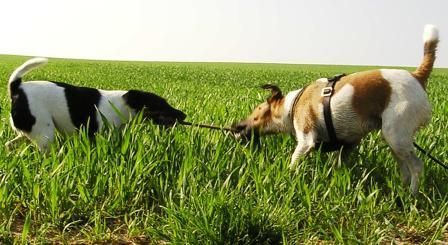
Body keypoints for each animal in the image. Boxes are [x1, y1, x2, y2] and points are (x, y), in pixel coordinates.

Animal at [7, 58, 186, 152]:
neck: (122, 105)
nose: (184, 114)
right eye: (161, 104)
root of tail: (17, 88)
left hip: (30, 132)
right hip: (45, 133)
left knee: (10, 143)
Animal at [233, 24, 440, 193]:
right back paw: (401, 191)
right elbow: (338, 165)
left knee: (417, 166)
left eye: (257, 111)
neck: (292, 104)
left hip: (396, 135)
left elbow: (293, 162)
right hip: (393, 140)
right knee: (405, 168)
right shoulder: (346, 145)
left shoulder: (306, 141)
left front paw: (286, 179)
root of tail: (417, 76)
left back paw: (412, 195)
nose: (235, 126)